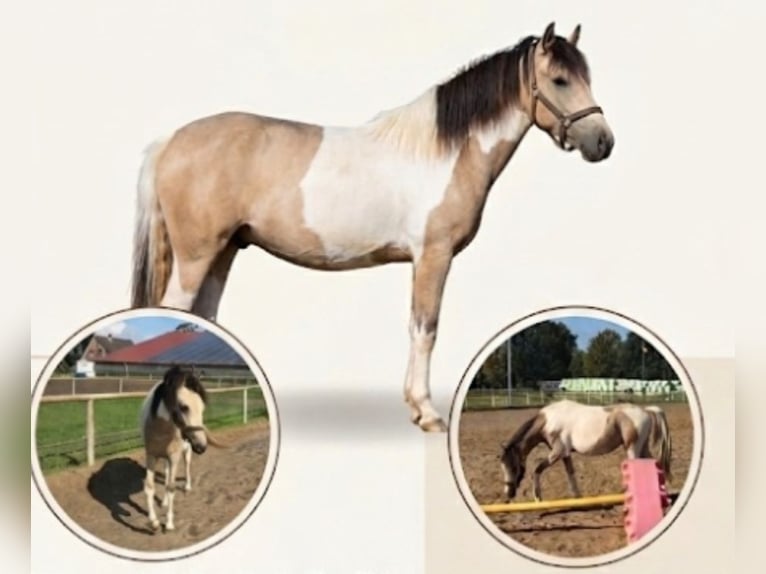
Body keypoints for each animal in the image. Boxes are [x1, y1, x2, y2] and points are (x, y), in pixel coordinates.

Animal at [130, 22, 615, 432]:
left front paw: (415, 407)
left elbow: (417, 326)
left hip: (224, 251)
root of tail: (170, 141)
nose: (603, 142)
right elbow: (426, 329)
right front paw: (428, 414)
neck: (445, 151)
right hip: (196, 255)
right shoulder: (433, 255)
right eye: (560, 80)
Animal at [139, 366, 221, 532]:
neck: (160, 429)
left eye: (202, 408)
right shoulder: (151, 456)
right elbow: (150, 486)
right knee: (166, 475)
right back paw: (164, 502)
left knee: (187, 467)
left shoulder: (174, 457)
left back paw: (187, 487)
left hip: (185, 453)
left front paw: (169, 524)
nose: (202, 446)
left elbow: (171, 487)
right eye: (184, 407)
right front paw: (153, 522)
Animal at [499, 399, 672, 502]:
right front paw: (578, 497)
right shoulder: (565, 454)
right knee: (654, 463)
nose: (508, 493)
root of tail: (646, 410)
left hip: (632, 449)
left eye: (513, 467)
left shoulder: (557, 452)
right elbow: (571, 473)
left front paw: (538, 498)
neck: (548, 421)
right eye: (503, 466)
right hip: (642, 448)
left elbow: (536, 469)